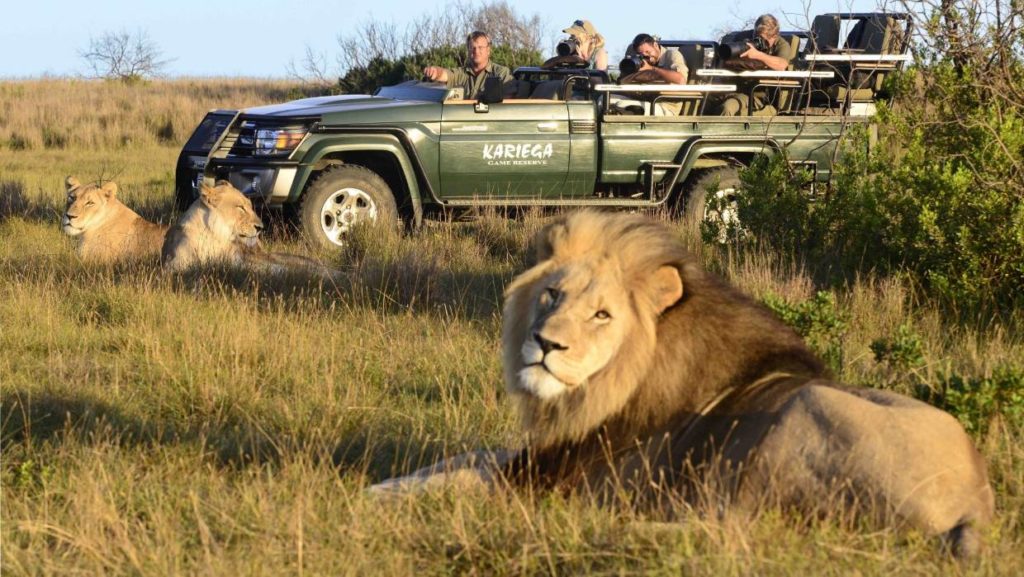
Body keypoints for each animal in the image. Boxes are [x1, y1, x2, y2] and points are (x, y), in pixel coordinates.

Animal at [161, 182, 339, 276]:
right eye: (240, 207)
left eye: (250, 206)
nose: (260, 227)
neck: (216, 236)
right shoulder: (173, 266)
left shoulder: (240, 261)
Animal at [374, 213, 991, 561]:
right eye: (552, 294)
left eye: (602, 314)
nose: (545, 343)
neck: (597, 393)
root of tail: (977, 503)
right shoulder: (541, 454)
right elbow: (464, 458)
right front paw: (390, 482)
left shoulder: (555, 476)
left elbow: (465, 477)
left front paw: (377, 493)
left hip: (799, 421)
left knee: (738, 530)